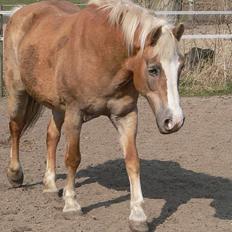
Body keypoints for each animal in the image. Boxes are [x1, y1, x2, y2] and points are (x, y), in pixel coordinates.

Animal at [3, 0, 185, 231]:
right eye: (153, 69)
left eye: (181, 67)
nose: (175, 120)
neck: (102, 54)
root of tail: (19, 12)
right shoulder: (75, 113)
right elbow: (73, 158)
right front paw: (71, 205)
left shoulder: (126, 115)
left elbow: (133, 161)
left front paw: (138, 215)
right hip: (18, 91)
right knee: (16, 128)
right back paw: (15, 175)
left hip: (57, 106)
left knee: (51, 136)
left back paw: (50, 186)